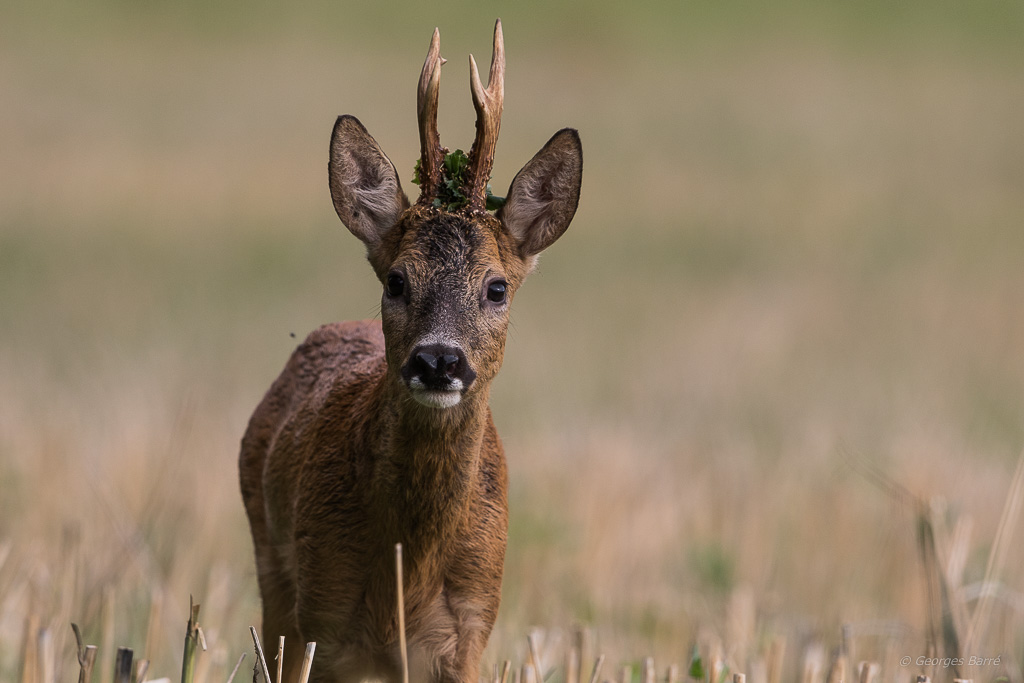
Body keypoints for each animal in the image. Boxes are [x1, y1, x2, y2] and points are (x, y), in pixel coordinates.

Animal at [235, 20, 581, 683]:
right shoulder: (320, 618)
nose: (437, 361)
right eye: (396, 280)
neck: (408, 571)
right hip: (271, 570)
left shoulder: (471, 628)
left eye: (496, 287)